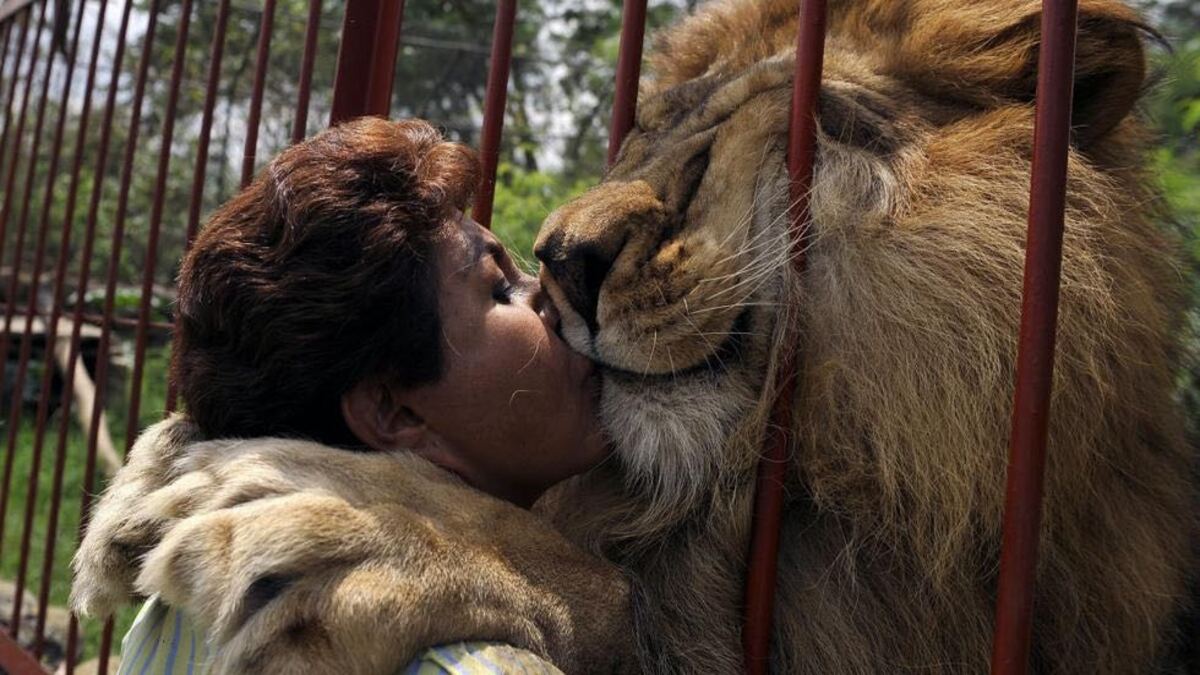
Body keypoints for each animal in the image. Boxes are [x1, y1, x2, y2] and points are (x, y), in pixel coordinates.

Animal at [72, 0, 1190, 667]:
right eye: (649, 132)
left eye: (775, 132)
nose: (561, 264)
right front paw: (156, 475)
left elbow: (596, 579)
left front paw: (343, 533)